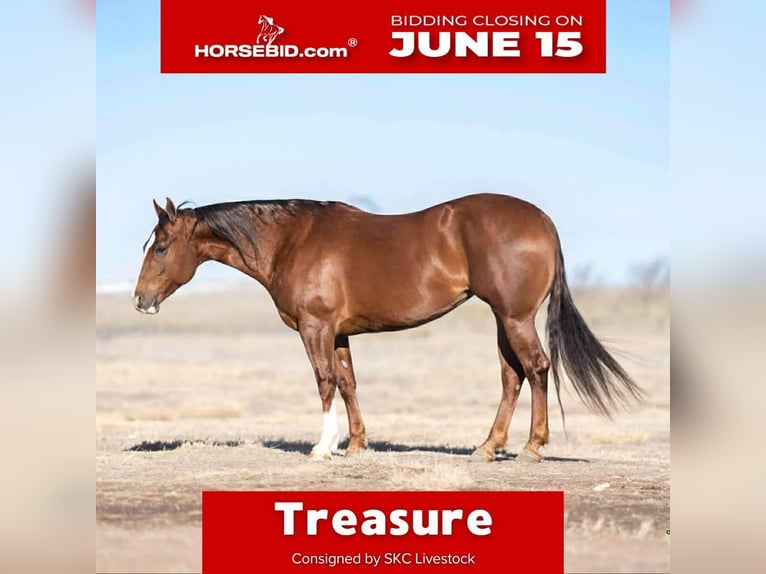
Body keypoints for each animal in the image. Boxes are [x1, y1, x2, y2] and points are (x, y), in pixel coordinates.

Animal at [133, 194, 643, 462]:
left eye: (160, 247)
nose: (141, 299)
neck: (293, 241)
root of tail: (542, 219)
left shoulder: (315, 328)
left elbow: (324, 382)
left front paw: (323, 447)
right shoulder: (339, 333)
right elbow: (347, 383)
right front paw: (357, 444)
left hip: (515, 317)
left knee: (536, 369)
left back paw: (532, 448)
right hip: (504, 319)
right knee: (511, 377)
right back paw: (487, 446)